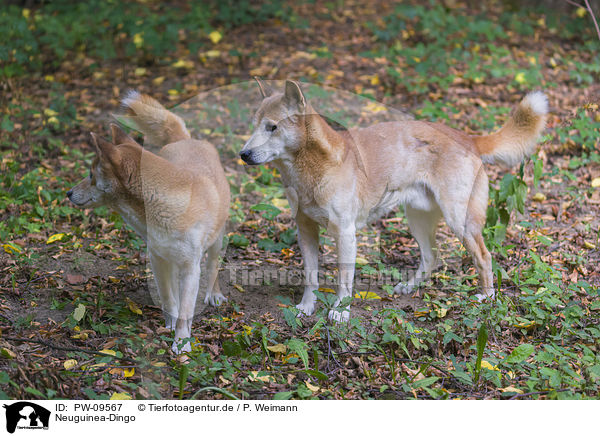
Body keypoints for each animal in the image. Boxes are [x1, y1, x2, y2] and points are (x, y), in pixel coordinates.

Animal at [68, 92, 230, 350]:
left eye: (91, 175)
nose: (69, 193)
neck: (163, 205)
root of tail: (185, 140)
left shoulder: (190, 267)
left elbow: (186, 308)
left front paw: (182, 343)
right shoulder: (157, 259)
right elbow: (168, 298)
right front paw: (170, 324)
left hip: (217, 239)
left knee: (213, 265)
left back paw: (214, 294)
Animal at [240, 80, 548, 322]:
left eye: (272, 127)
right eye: (254, 126)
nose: (243, 154)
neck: (311, 168)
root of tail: (468, 138)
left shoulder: (345, 233)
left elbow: (343, 281)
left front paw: (341, 312)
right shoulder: (305, 229)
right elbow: (310, 275)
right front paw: (306, 307)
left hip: (458, 221)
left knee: (484, 257)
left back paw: (486, 298)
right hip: (417, 218)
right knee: (431, 256)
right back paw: (409, 288)